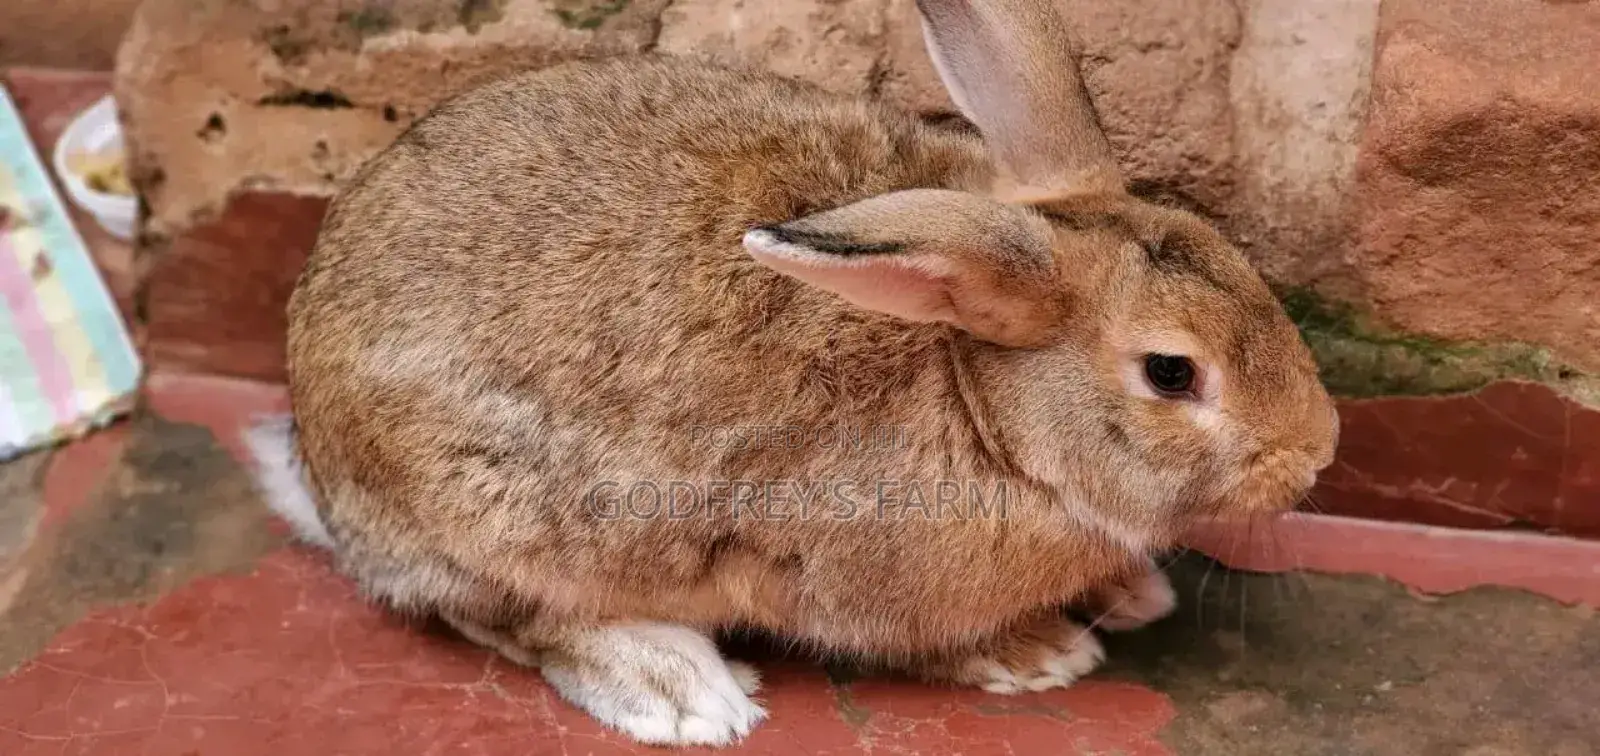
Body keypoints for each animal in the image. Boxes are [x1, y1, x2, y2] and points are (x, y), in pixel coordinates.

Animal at [245, 0, 1339, 746]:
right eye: (1171, 374)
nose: (1318, 454)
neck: (983, 403)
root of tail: (323, 473)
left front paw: (1125, 592)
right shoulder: (851, 577)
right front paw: (1041, 652)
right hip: (498, 516)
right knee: (512, 617)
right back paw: (681, 691)